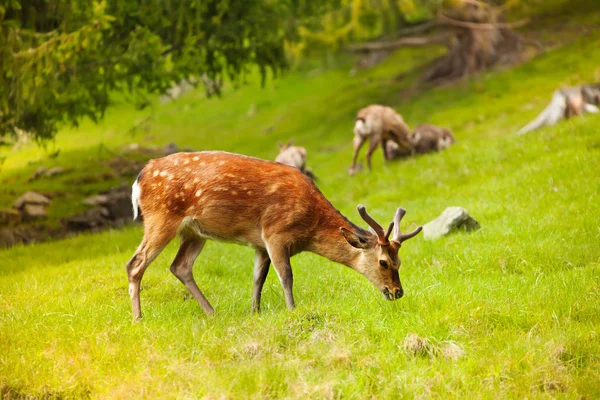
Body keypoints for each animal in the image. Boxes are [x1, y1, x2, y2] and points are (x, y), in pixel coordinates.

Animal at [125, 152, 422, 320]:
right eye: (384, 262)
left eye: (399, 262)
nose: (397, 292)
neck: (309, 228)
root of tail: (138, 179)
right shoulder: (275, 232)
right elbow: (286, 276)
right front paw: (292, 310)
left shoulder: (259, 243)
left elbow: (258, 277)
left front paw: (254, 311)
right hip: (161, 217)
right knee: (135, 264)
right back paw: (138, 318)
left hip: (194, 231)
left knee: (180, 266)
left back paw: (211, 312)